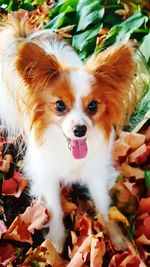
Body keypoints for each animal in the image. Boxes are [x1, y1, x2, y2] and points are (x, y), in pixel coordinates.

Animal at [0, 12, 135, 251]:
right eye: (60, 106)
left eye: (93, 106)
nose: (80, 130)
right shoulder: (46, 172)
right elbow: (54, 208)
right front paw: (56, 240)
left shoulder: (95, 170)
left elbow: (103, 204)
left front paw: (115, 234)